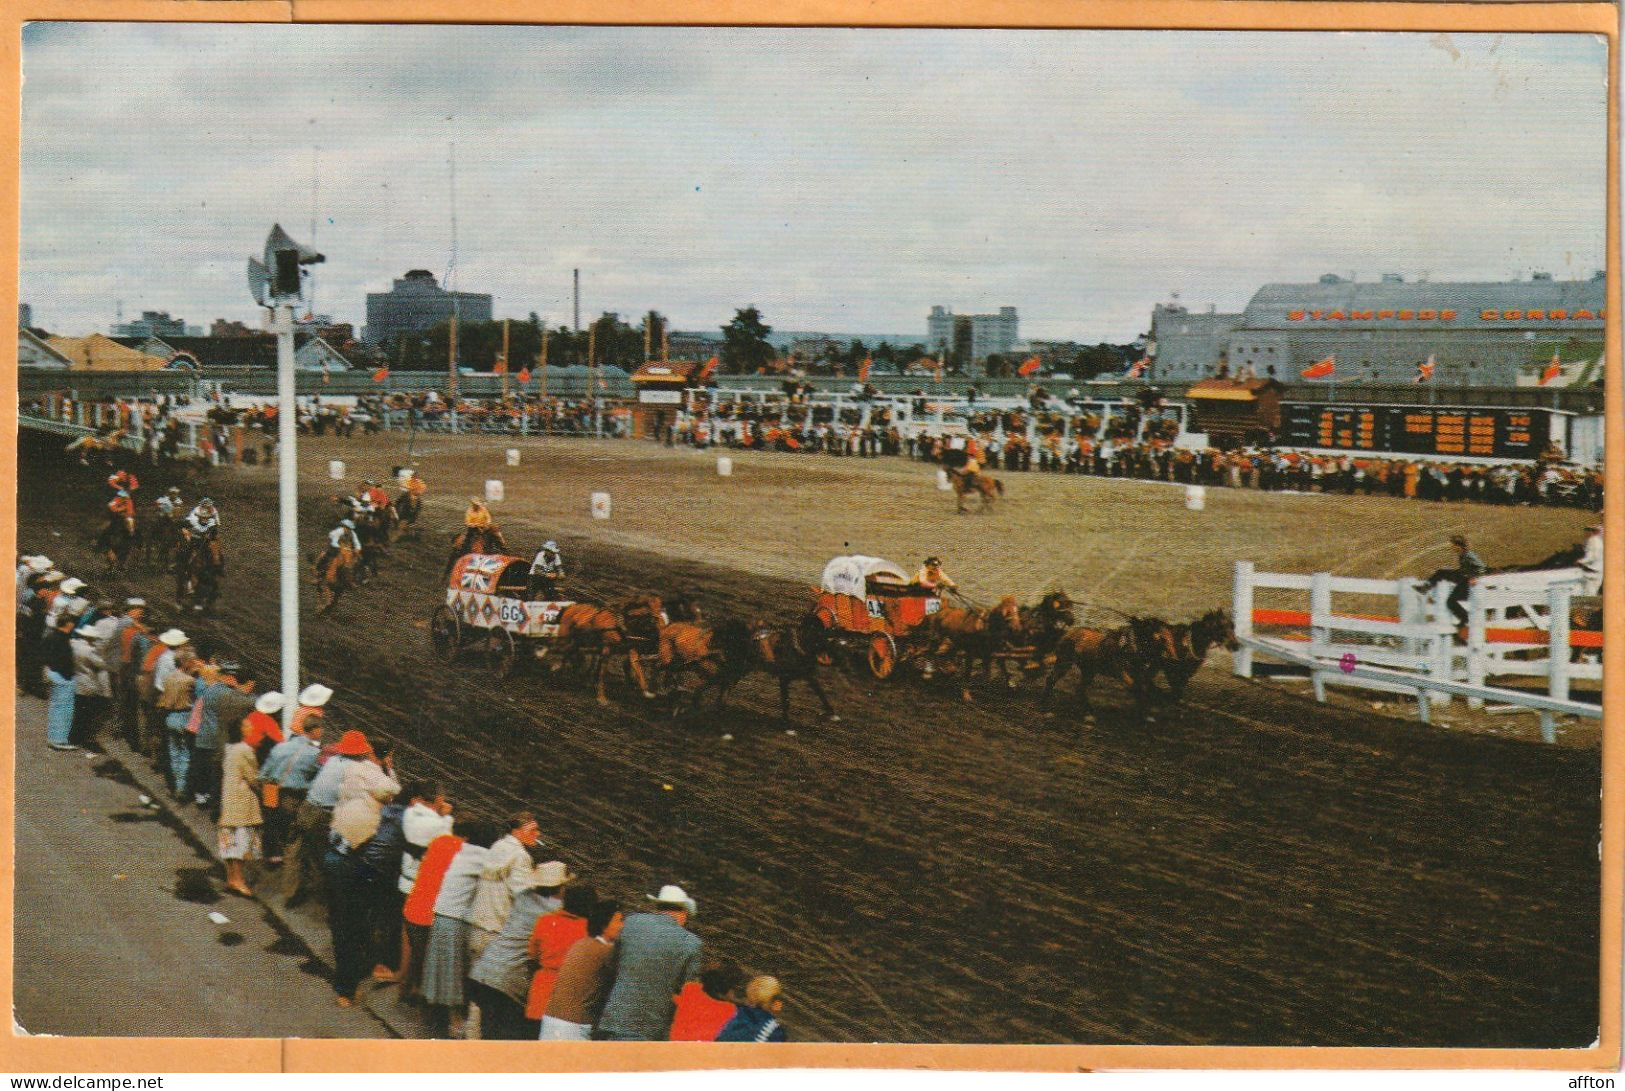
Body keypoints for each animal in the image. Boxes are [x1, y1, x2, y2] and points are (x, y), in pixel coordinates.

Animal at [1046, 614, 1176, 725]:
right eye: (1162, 638)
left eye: (1171, 636)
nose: (1172, 656)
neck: (1131, 646)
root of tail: (1069, 632)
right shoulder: (1122, 673)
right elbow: (1136, 689)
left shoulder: (1139, 675)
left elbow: (1144, 690)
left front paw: (1146, 714)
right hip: (1064, 663)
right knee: (1051, 679)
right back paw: (1046, 703)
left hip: (1089, 671)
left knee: (1079, 690)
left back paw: (1089, 713)